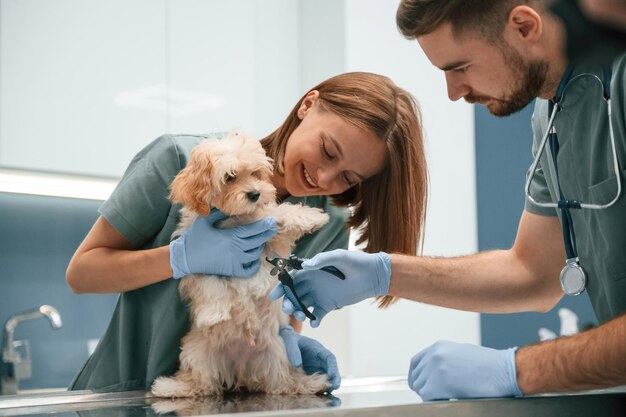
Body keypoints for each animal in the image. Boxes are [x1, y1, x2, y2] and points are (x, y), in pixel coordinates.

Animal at [151, 132, 332, 396]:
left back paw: (311, 383)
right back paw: (170, 387)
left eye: (255, 173)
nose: (255, 194)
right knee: (201, 384)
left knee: (282, 383)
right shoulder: (198, 256)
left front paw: (313, 217)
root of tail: (239, 368)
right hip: (197, 352)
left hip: (279, 350)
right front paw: (214, 314)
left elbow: (278, 213)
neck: (236, 220)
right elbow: (211, 280)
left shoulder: (273, 239)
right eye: (229, 177)